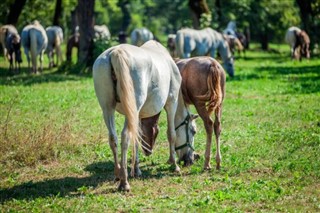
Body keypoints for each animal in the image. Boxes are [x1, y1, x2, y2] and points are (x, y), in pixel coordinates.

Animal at [92, 40, 198, 191]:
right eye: (193, 131)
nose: (191, 159)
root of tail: (116, 52)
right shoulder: (171, 103)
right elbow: (171, 134)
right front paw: (174, 164)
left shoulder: (137, 115)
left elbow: (138, 138)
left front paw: (137, 169)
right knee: (125, 136)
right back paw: (124, 182)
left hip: (108, 108)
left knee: (113, 138)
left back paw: (118, 173)